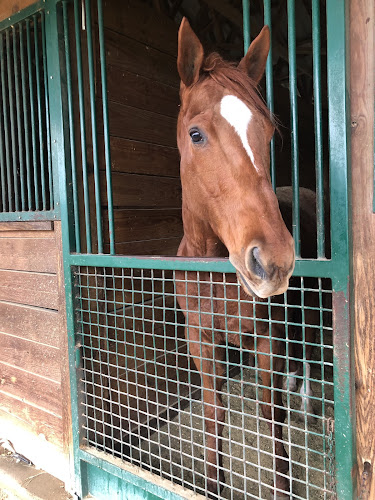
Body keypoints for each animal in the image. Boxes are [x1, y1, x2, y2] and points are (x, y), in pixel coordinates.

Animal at [175, 17, 298, 498]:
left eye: (269, 133)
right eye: (195, 134)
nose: (275, 260)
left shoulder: (269, 339)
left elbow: (273, 414)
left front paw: (283, 485)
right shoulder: (201, 341)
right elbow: (214, 414)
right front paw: (214, 483)